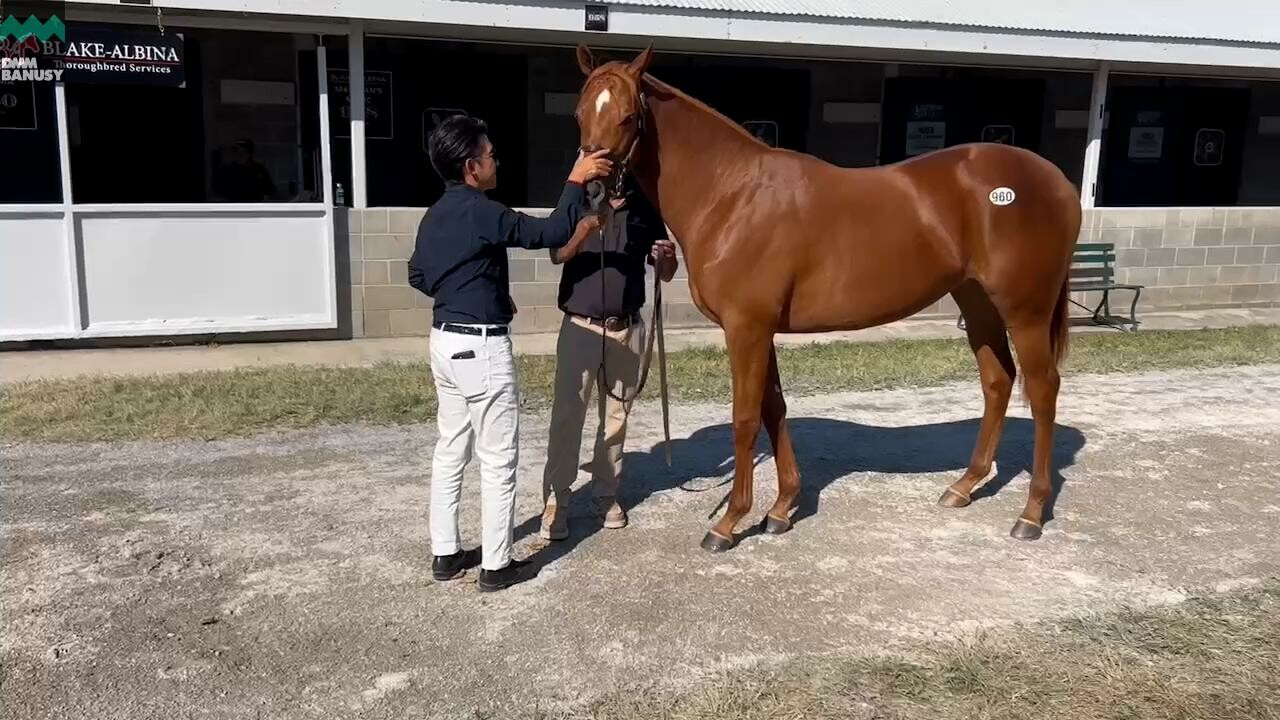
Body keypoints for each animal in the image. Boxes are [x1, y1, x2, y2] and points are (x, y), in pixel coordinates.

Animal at [576, 43, 1085, 548]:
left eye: (627, 116)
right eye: (580, 112)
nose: (593, 189)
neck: (731, 194)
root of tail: (1057, 181)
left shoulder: (746, 328)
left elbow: (745, 418)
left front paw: (729, 522)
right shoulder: (762, 330)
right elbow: (774, 408)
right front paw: (782, 509)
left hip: (1026, 311)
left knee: (1042, 389)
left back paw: (1031, 513)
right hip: (976, 302)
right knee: (998, 381)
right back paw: (963, 487)